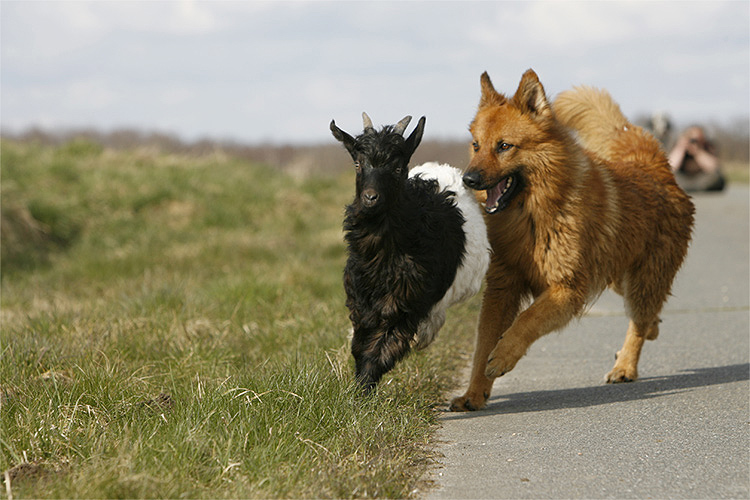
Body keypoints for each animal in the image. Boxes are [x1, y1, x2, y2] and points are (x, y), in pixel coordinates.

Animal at [332, 113, 490, 390]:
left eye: (397, 169)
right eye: (358, 165)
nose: (370, 198)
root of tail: (441, 169)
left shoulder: (406, 303)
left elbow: (384, 347)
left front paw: (363, 389)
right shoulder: (361, 299)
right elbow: (361, 342)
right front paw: (359, 388)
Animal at [450, 69, 696, 410]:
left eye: (504, 146)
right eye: (476, 145)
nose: (468, 179)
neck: (532, 217)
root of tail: (652, 164)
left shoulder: (567, 289)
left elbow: (526, 321)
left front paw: (503, 356)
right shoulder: (502, 290)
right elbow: (481, 347)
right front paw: (473, 394)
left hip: (642, 281)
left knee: (639, 321)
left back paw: (625, 367)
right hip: (618, 277)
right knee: (647, 317)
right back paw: (651, 332)